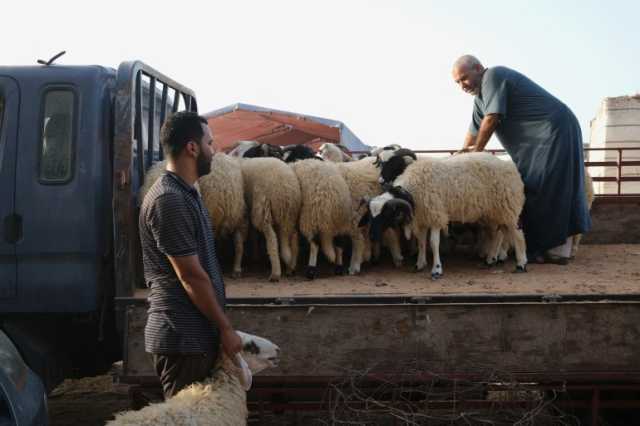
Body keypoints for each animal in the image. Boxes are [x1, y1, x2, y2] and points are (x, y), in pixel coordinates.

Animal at [368, 151, 528, 278]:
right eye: (371, 214)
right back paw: (491, 259)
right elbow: (421, 242)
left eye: (386, 214)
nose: (372, 236)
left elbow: (433, 243)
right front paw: (419, 264)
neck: (412, 190)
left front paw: (436, 270)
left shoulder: (436, 215)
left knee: (517, 233)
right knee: (497, 234)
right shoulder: (423, 217)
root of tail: (510, 166)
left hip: (508, 206)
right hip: (494, 212)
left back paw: (521, 264)